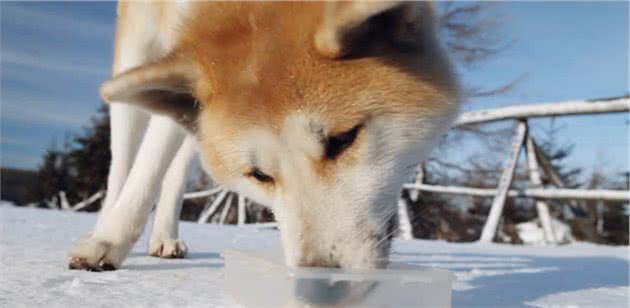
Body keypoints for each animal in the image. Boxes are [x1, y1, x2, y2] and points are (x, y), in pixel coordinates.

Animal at [69, 1, 460, 272]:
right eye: (259, 175)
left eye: (342, 139)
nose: (323, 278)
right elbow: (147, 169)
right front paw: (109, 241)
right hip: (134, 60)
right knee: (124, 160)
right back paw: (102, 228)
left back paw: (165, 236)